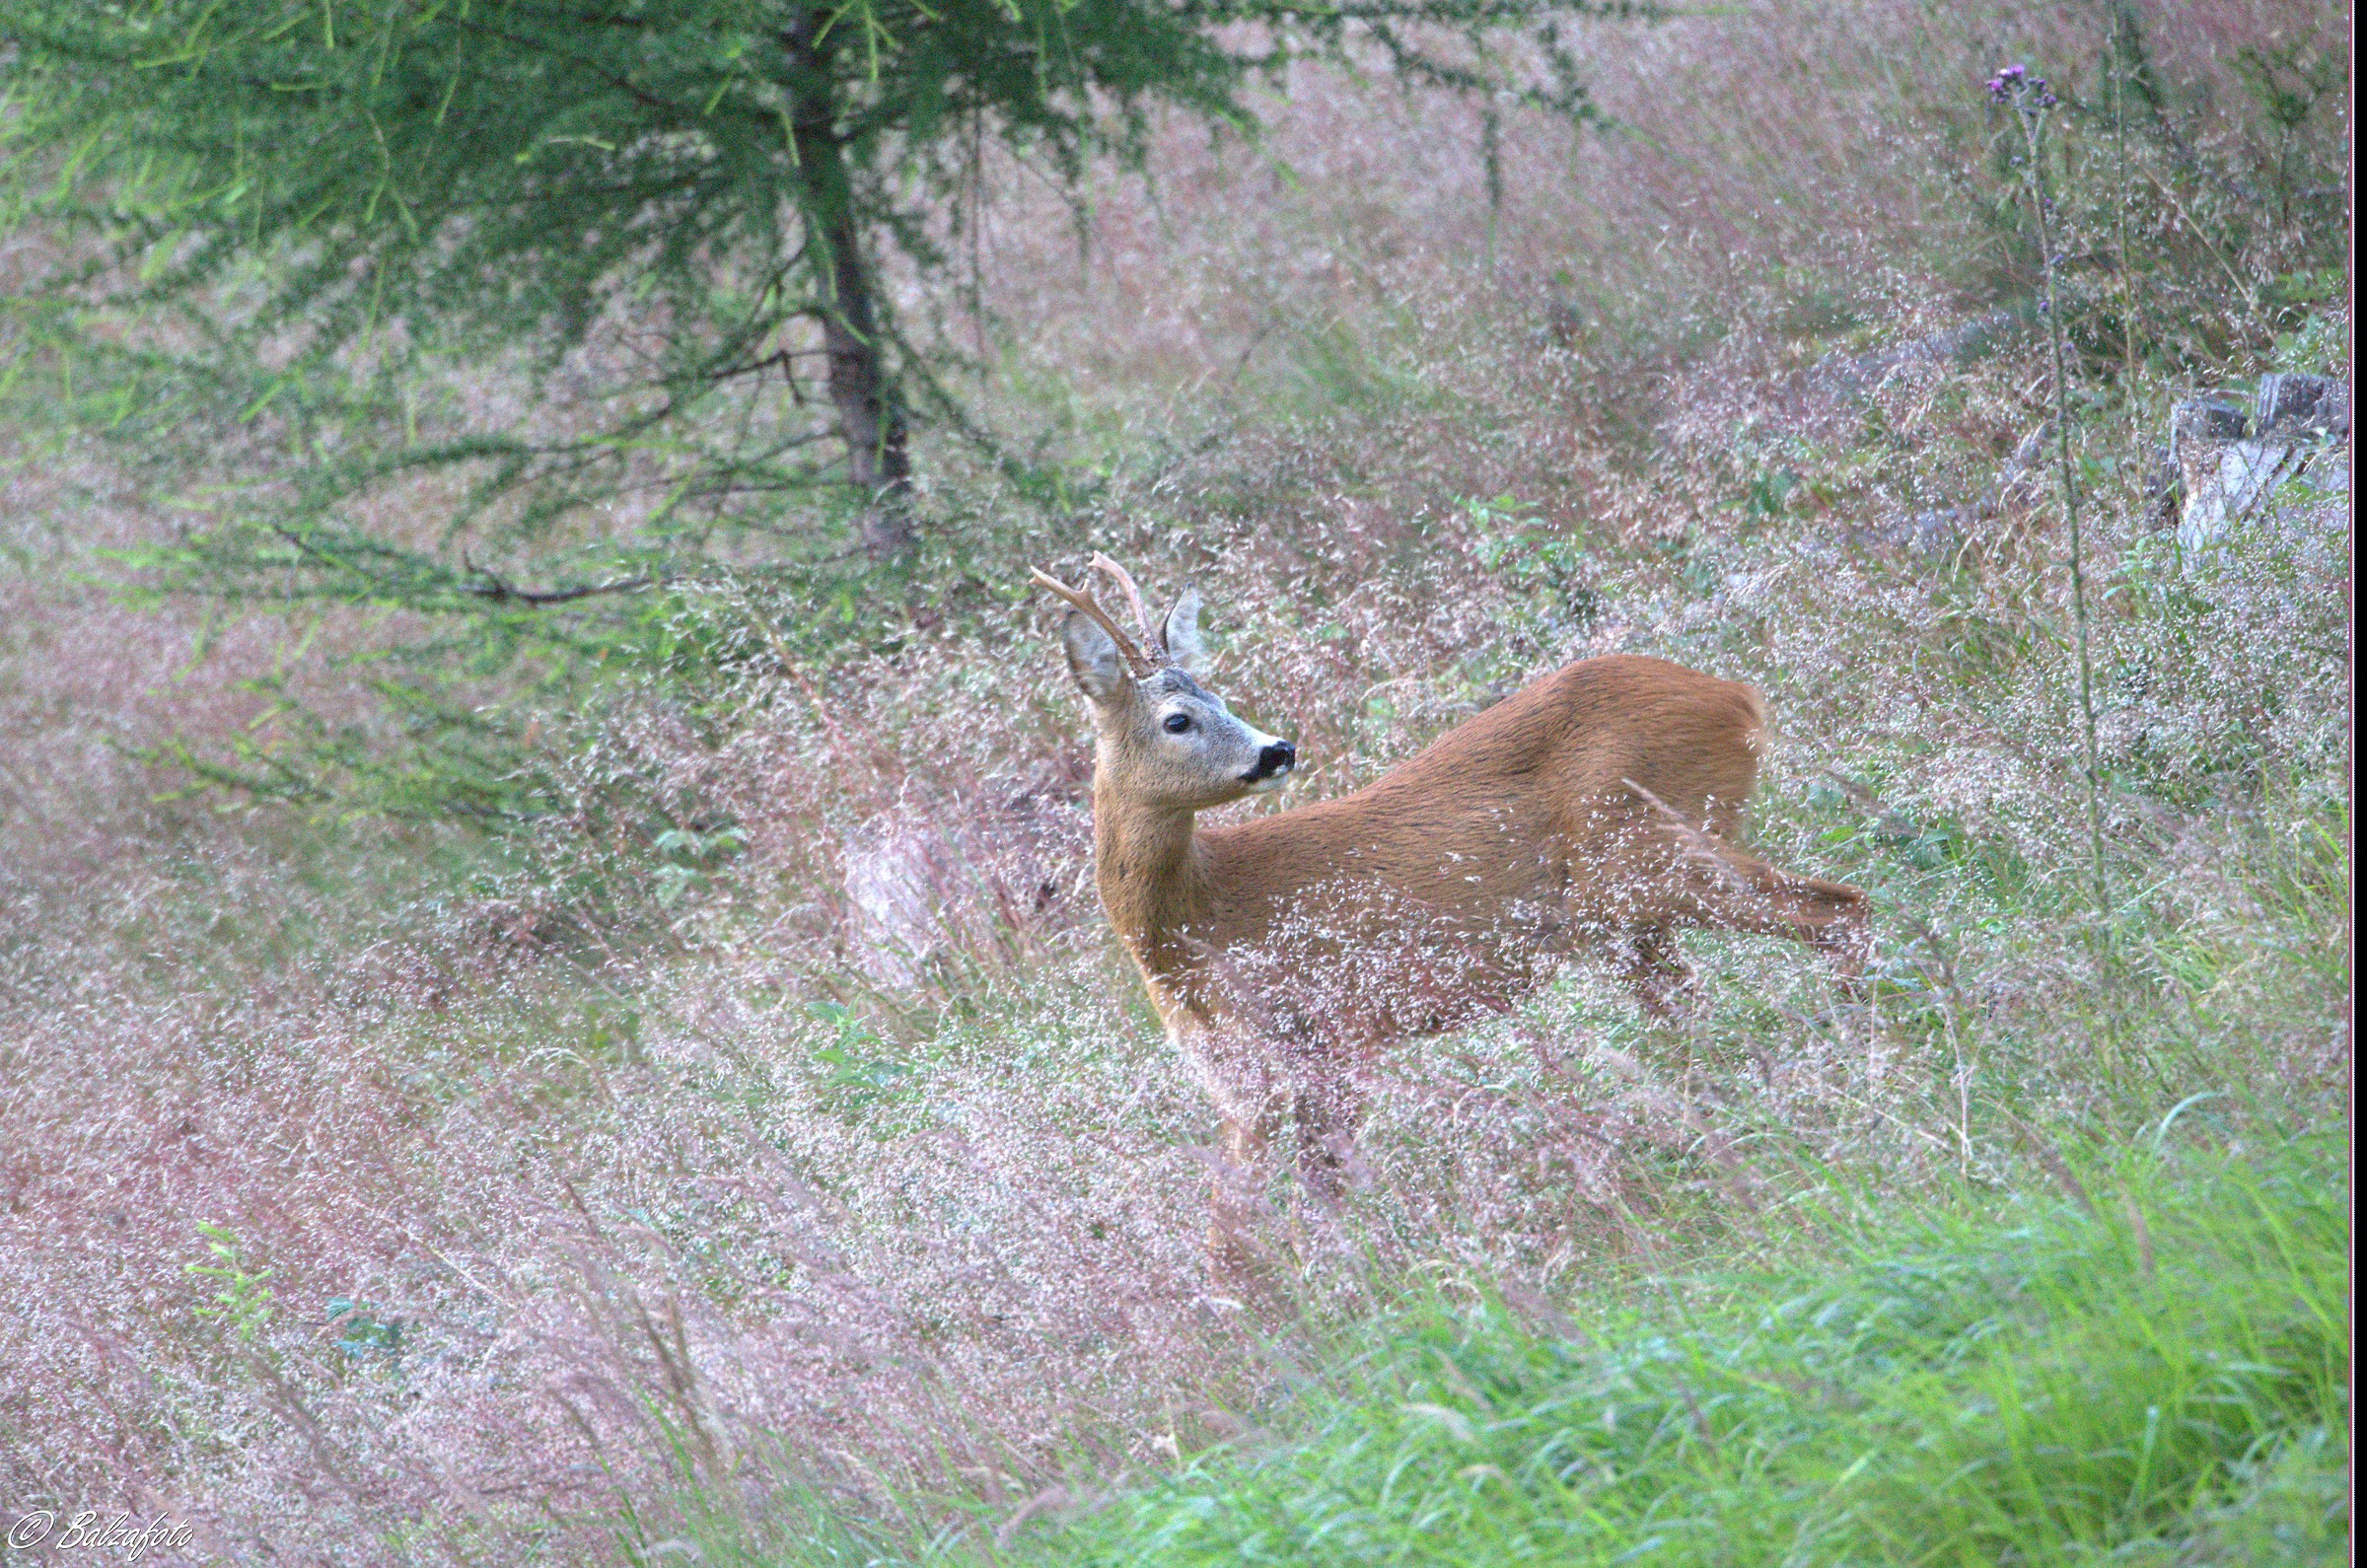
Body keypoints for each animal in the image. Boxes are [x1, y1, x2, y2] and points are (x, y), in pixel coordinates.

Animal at [1033, 554, 1869, 1284]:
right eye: (1179, 719)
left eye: (1220, 696)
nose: (1278, 751)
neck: (1195, 927)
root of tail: (1738, 696)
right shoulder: (1244, 1079)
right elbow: (1229, 1237)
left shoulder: (1335, 1034)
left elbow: (1314, 1208)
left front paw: (1345, 1304)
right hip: (1626, 916)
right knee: (1711, 1012)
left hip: (1650, 862)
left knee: (1840, 909)